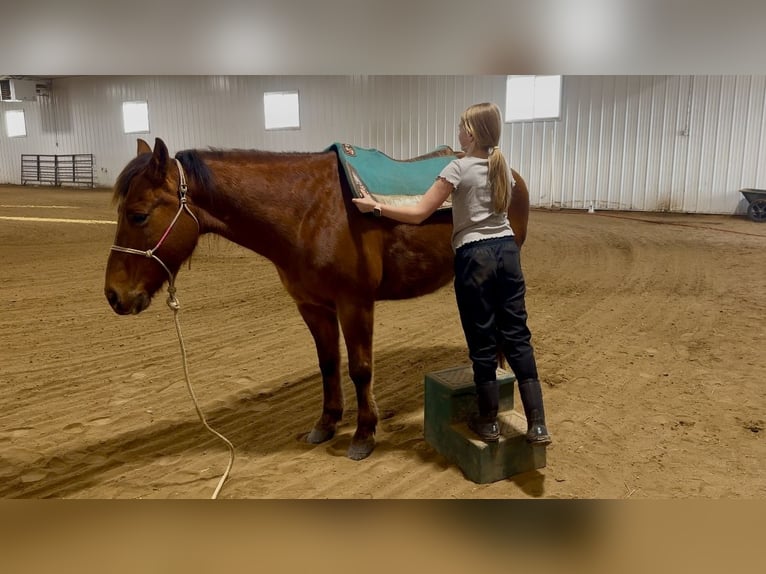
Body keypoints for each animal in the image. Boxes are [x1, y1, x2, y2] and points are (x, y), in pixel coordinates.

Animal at [105, 140, 532, 464]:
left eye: (138, 215)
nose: (113, 295)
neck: (307, 211)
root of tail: (509, 172)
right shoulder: (313, 307)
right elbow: (328, 365)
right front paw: (326, 424)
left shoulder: (354, 303)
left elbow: (360, 369)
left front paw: (363, 434)